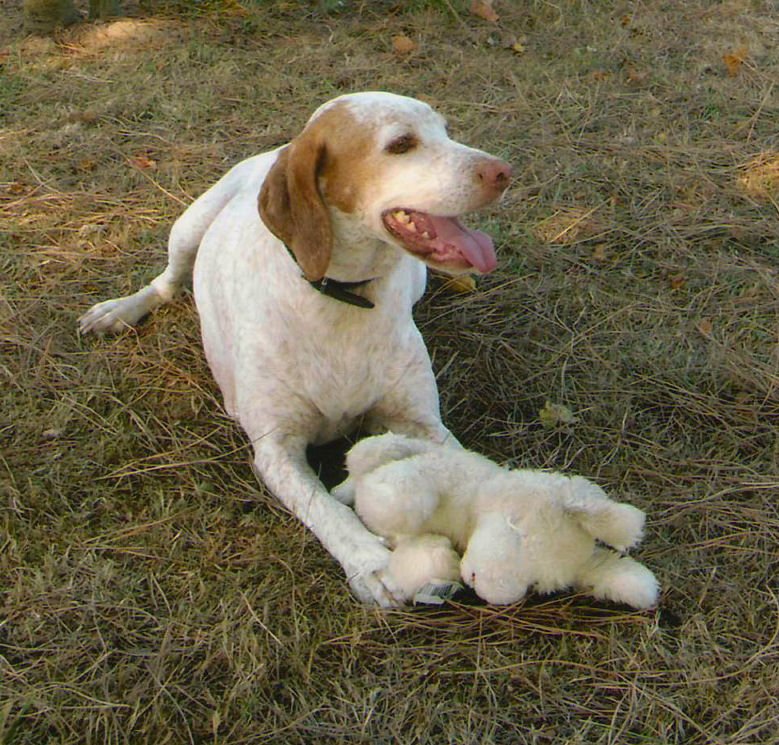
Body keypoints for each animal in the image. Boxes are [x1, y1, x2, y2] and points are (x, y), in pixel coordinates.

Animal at [79, 91, 516, 604]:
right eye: (401, 144)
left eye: (446, 132)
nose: (504, 171)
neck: (341, 297)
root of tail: (278, 150)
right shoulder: (277, 450)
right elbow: (327, 509)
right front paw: (370, 562)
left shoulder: (420, 423)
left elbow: (467, 469)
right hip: (186, 228)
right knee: (165, 284)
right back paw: (118, 311)